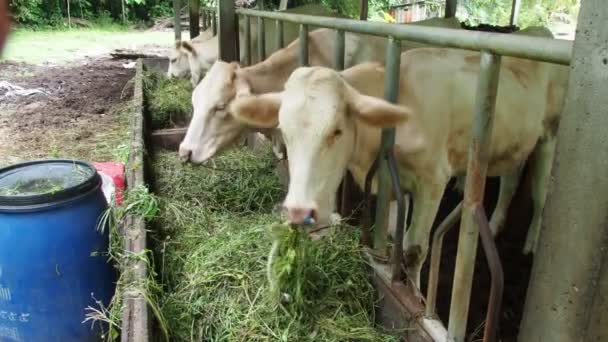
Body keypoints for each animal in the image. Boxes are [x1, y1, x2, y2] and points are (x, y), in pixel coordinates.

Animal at [228, 48, 568, 288]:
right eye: (284, 131)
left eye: (337, 130)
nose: (299, 212)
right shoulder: (393, 183)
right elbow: (393, 234)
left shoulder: (432, 181)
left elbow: (414, 248)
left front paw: (415, 293)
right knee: (511, 180)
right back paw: (496, 224)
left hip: (550, 136)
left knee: (541, 194)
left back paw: (532, 243)